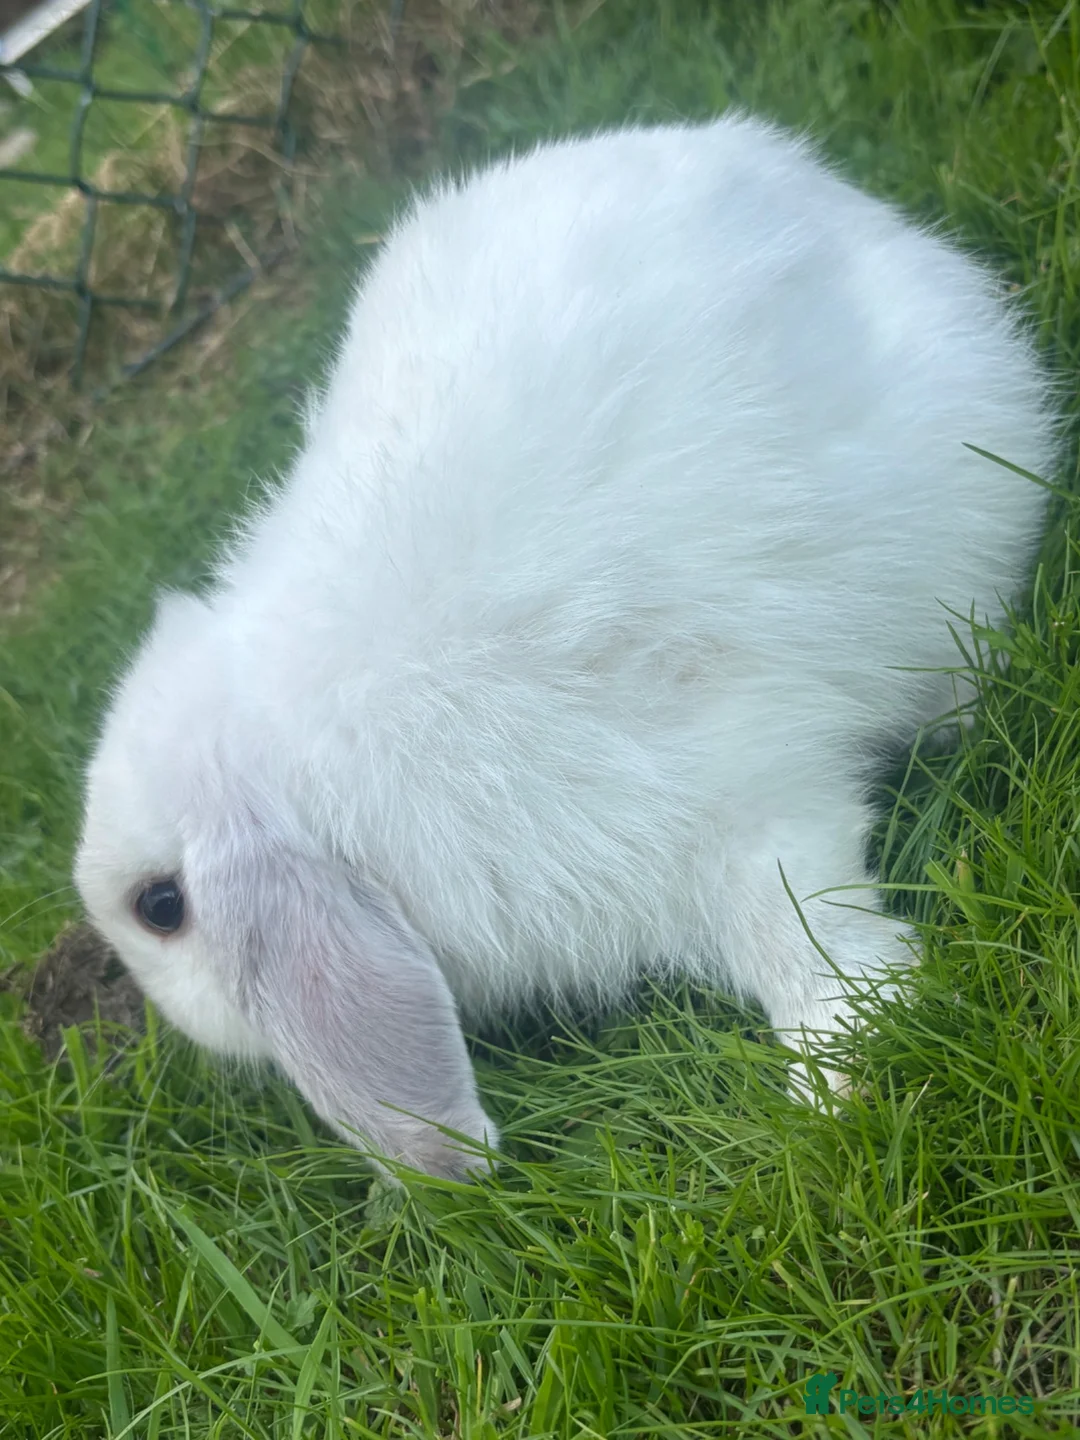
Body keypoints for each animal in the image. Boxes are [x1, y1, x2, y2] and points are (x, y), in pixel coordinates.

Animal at [74, 114, 1058, 1179]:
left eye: (159, 906)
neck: (313, 768)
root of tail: (815, 186)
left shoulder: (717, 798)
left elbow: (797, 921)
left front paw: (840, 1073)